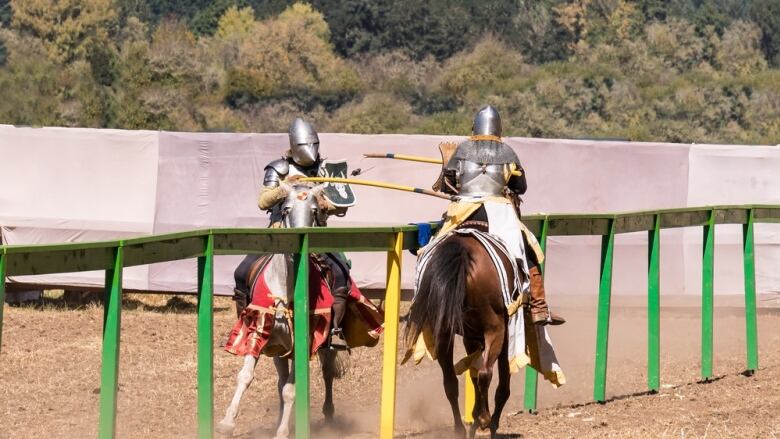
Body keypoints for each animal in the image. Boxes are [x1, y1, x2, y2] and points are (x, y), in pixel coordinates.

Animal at [218, 184, 342, 439]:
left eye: (315, 210)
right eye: (286, 209)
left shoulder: (306, 341)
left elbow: (290, 390)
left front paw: (283, 432)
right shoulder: (259, 330)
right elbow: (245, 376)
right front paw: (227, 422)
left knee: (326, 372)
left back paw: (327, 414)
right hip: (279, 348)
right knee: (281, 379)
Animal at [406, 232, 516, 438]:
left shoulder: (470, 338)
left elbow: (471, 375)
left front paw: (475, 418)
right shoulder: (503, 333)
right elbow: (501, 383)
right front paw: (488, 422)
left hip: (443, 332)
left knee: (450, 382)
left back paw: (461, 428)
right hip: (495, 328)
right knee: (485, 373)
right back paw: (485, 420)